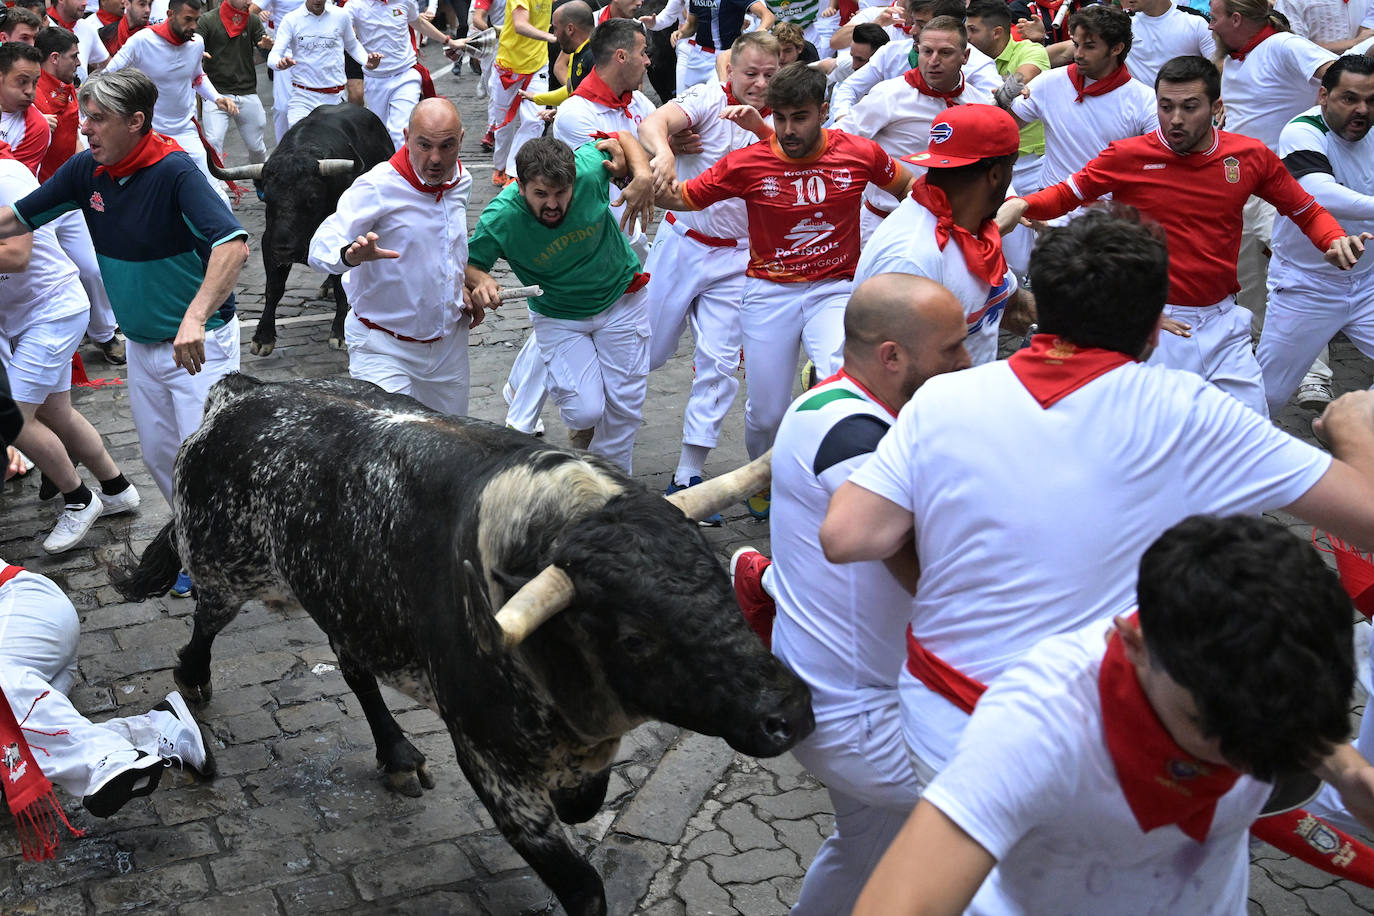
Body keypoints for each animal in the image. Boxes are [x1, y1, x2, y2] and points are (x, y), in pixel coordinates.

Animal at [120, 373, 813, 916]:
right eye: (635, 638)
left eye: (719, 580)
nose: (788, 714)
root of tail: (239, 394)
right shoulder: (490, 762)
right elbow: (582, 885)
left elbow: (585, 804)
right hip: (225, 567)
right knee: (207, 618)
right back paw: (193, 677)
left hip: (349, 601)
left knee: (354, 667)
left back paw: (397, 753)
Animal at [207, 103, 392, 354]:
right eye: (267, 198)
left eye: (312, 199)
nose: (284, 250)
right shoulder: (269, 242)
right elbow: (274, 287)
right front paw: (263, 337)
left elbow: (342, 284)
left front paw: (340, 332)